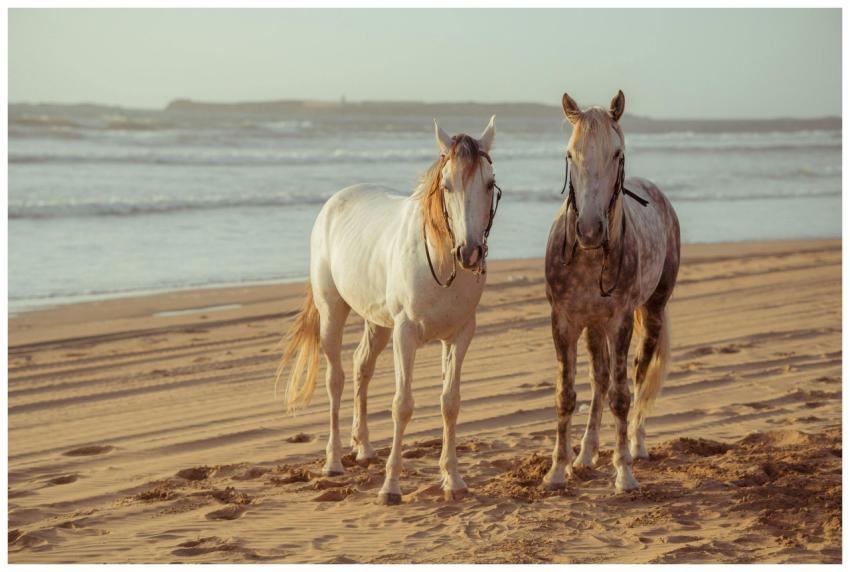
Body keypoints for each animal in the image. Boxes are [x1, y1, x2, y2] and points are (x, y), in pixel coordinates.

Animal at [275, 117, 501, 505]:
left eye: (488, 183)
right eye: (447, 185)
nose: (469, 253)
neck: (440, 259)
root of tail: (336, 200)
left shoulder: (460, 335)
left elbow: (450, 403)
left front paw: (453, 479)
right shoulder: (405, 334)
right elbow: (402, 405)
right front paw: (390, 487)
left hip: (378, 323)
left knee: (361, 366)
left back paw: (364, 448)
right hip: (333, 312)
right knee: (335, 378)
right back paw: (333, 461)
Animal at [543, 91, 680, 492]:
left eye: (617, 153)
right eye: (570, 154)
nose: (589, 229)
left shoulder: (620, 321)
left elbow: (622, 396)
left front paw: (624, 474)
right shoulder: (564, 321)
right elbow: (566, 394)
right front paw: (558, 470)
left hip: (651, 313)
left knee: (637, 377)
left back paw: (636, 444)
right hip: (593, 325)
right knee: (599, 379)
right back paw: (586, 454)